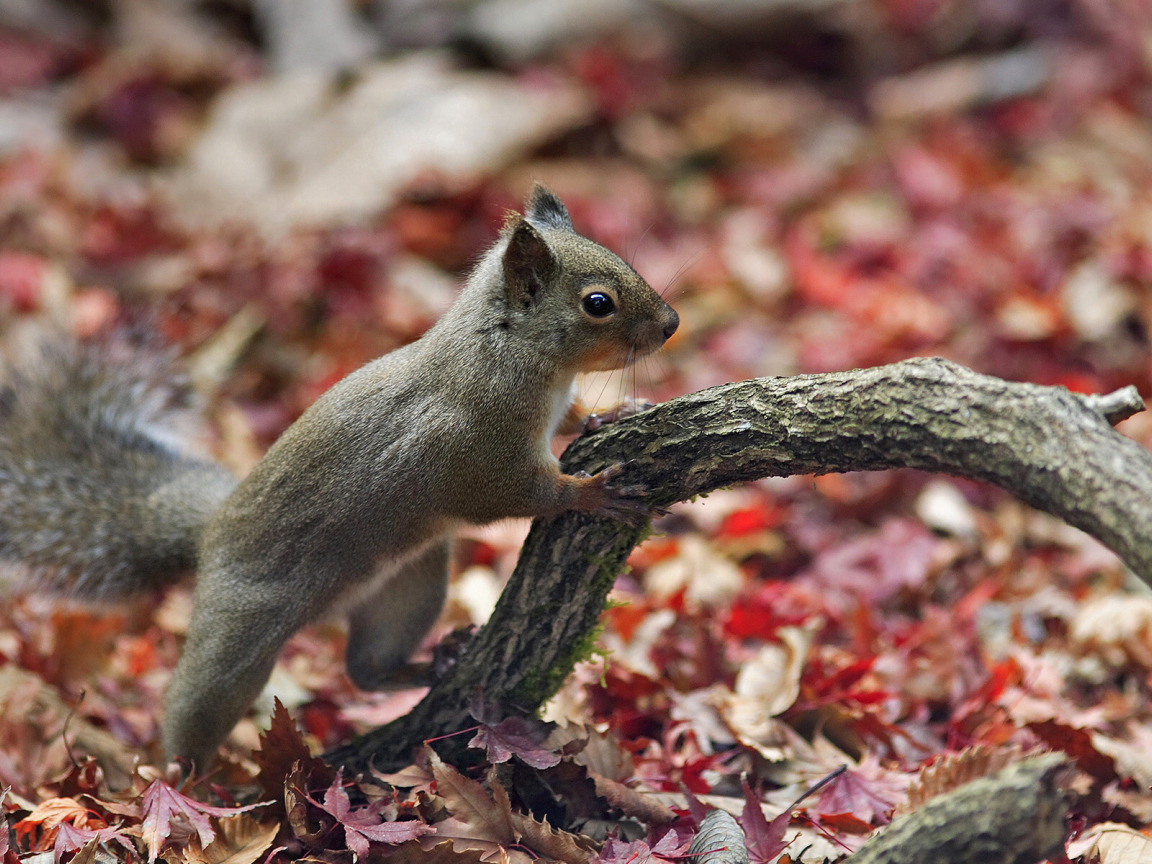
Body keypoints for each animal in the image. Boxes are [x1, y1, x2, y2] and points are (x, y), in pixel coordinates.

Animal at [0, 185, 679, 771]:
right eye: (598, 303)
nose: (672, 323)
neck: (510, 353)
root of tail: (210, 533)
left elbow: (572, 419)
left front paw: (610, 413)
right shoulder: (476, 452)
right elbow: (517, 494)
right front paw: (591, 493)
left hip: (409, 586)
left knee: (367, 667)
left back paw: (430, 664)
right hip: (237, 633)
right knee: (196, 701)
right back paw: (183, 783)